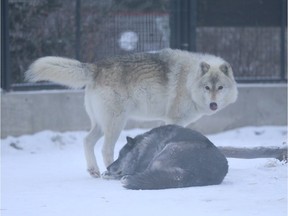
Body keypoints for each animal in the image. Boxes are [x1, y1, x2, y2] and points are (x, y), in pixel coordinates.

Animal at [24, 48, 237, 176]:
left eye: (220, 88)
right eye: (207, 88)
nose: (213, 105)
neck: (189, 80)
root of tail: (96, 67)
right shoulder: (174, 118)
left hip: (101, 125)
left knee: (87, 140)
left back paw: (94, 171)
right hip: (116, 124)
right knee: (105, 149)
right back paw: (110, 171)